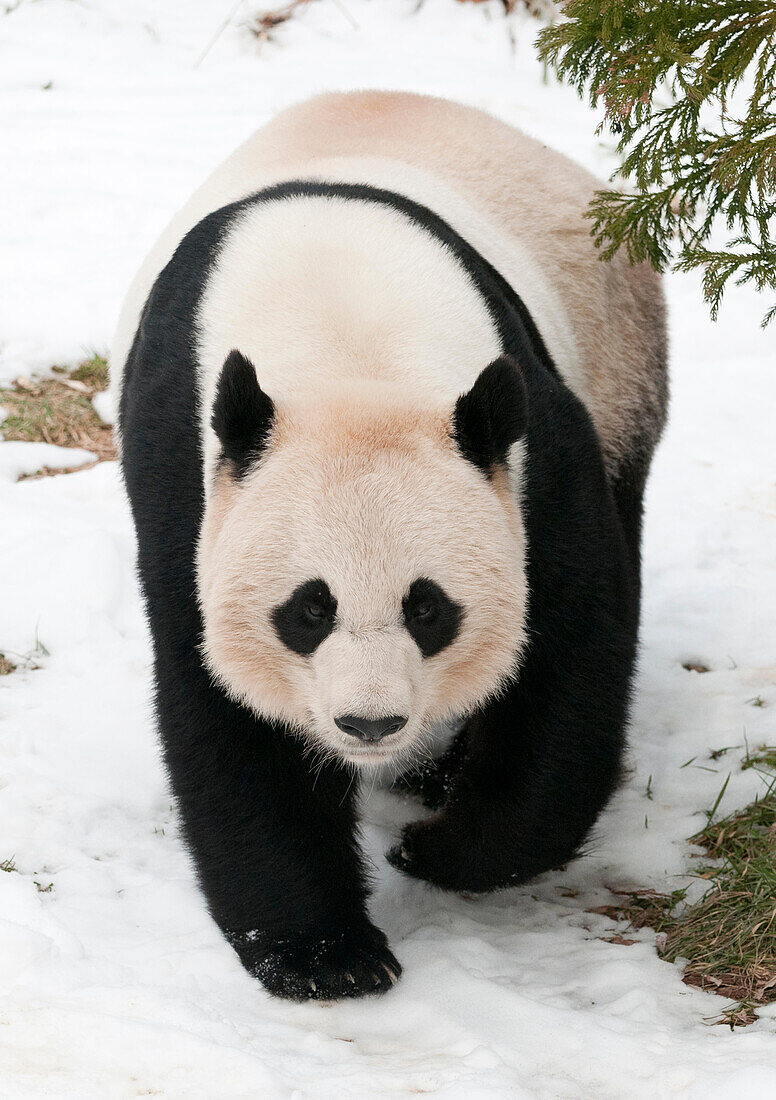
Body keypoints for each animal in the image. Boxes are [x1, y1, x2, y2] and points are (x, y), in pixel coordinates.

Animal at [112, 92, 669, 1007]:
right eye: (308, 610)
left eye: (428, 609)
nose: (369, 723)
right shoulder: (187, 470)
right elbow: (223, 706)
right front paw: (325, 956)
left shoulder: (532, 448)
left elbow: (571, 649)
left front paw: (438, 850)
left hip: (619, 357)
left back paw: (431, 781)